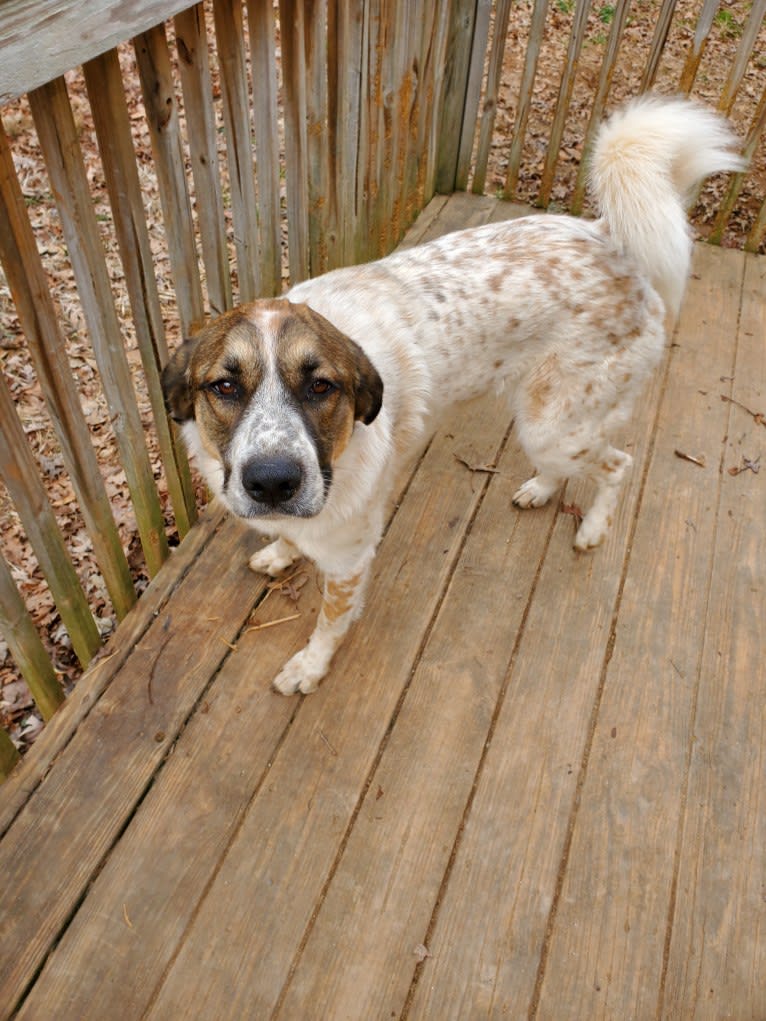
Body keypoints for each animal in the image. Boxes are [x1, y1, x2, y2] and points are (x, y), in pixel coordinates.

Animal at [162, 95, 743, 694]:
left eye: (321, 385)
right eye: (225, 386)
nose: (274, 482)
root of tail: (611, 239)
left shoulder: (348, 559)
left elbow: (331, 622)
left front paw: (310, 667)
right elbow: (292, 539)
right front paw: (280, 552)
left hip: (554, 426)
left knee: (617, 465)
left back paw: (593, 528)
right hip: (547, 423)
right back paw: (539, 490)